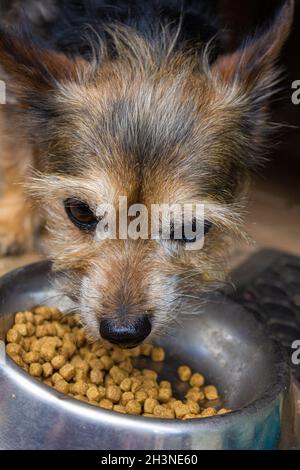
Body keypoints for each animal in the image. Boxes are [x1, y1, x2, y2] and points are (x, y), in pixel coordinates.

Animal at [0, 0, 296, 346]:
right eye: (80, 212)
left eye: (193, 228)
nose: (123, 332)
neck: (147, 36)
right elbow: (16, 141)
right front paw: (11, 220)